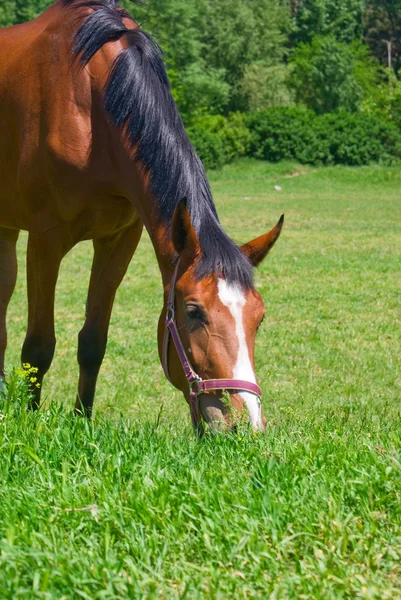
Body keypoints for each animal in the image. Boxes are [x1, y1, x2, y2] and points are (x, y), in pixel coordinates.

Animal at [0, 0, 282, 434]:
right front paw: (30, 423)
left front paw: (82, 420)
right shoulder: (46, 240)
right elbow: (38, 346)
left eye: (260, 317)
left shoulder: (119, 241)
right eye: (193, 311)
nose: (244, 423)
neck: (91, 101)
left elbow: (93, 341)